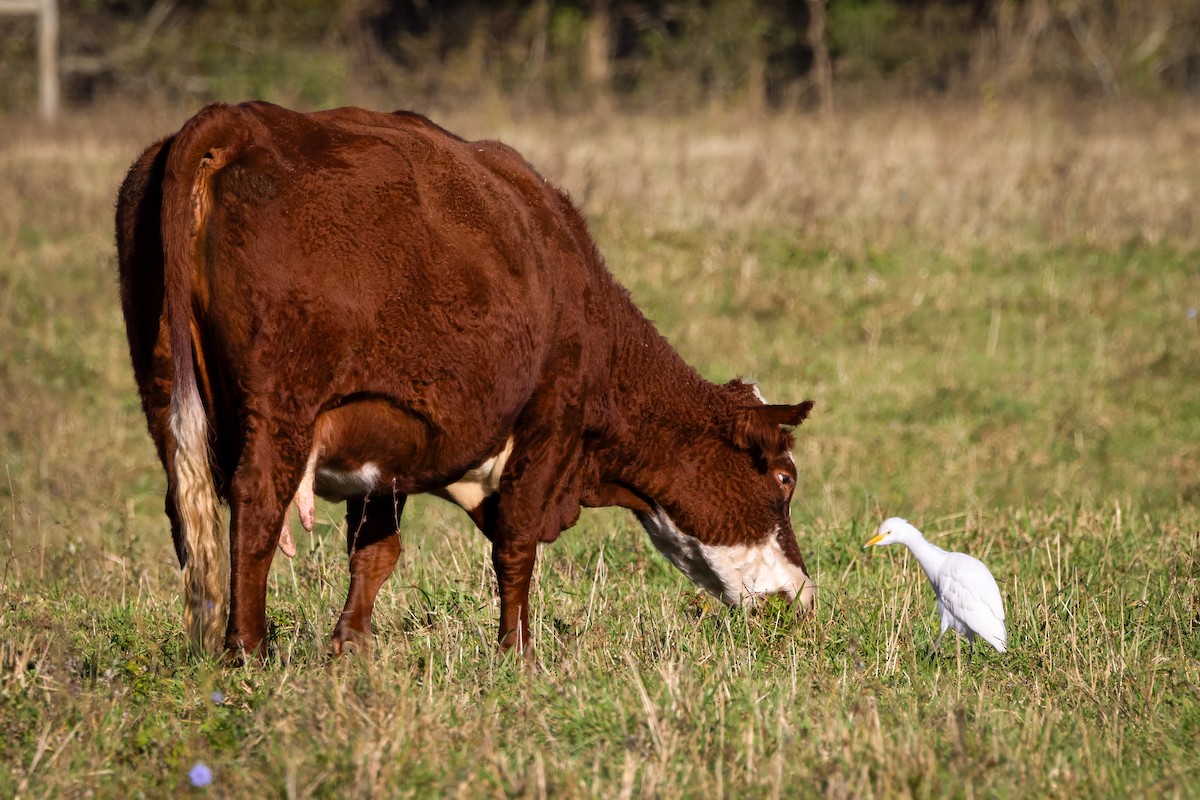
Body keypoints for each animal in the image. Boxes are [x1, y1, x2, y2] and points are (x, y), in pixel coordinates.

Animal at [115, 101, 817, 660]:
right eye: (784, 479)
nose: (802, 598)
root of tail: (241, 120)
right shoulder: (550, 420)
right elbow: (516, 545)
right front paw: (517, 652)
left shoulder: (388, 448)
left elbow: (376, 553)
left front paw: (350, 648)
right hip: (281, 401)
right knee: (255, 509)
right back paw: (248, 651)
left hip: (163, 388)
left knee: (189, 512)